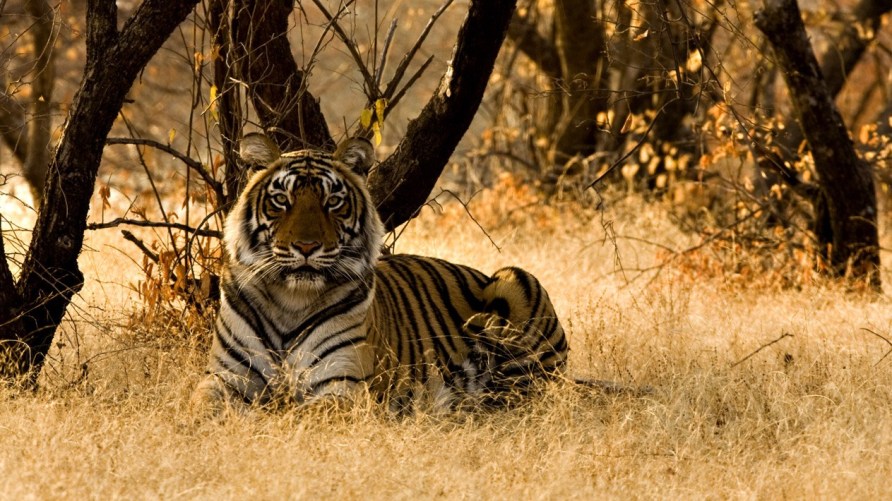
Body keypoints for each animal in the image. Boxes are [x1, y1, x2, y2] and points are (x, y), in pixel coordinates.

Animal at [193, 133, 569, 413]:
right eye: (282, 200)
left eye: (332, 202)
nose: (306, 246)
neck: (291, 300)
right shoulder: (225, 378)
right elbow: (199, 409)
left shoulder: (342, 385)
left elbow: (299, 415)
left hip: (516, 281)